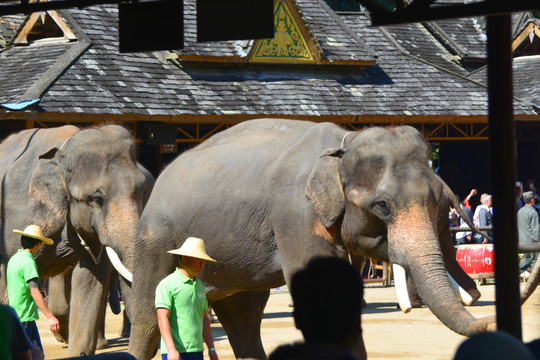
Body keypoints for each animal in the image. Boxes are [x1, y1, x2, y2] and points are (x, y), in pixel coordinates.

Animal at [129, 119, 496, 360]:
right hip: (154, 238)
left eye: (440, 203)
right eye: (382, 205)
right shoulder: (295, 214)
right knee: (148, 316)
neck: (343, 143)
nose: (485, 308)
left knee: (244, 318)